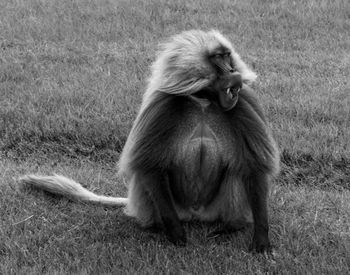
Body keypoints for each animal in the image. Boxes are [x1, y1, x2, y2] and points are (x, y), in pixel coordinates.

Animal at [20, 29, 280, 253]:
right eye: (218, 57)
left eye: (228, 55)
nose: (233, 71)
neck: (203, 99)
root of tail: (195, 215)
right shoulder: (162, 105)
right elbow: (149, 166)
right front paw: (175, 234)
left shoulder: (244, 102)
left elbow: (255, 167)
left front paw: (261, 238)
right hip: (168, 207)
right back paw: (156, 229)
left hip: (215, 209)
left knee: (237, 171)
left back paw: (229, 228)